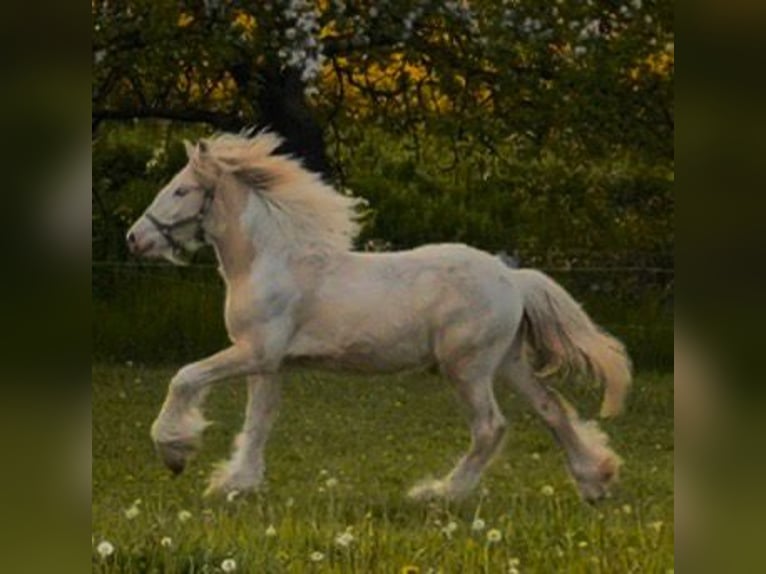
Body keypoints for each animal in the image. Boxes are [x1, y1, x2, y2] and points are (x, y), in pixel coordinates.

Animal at [126, 131, 632, 502]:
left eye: (181, 190)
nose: (134, 238)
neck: (270, 261)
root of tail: (513, 277)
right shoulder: (269, 363)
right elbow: (258, 422)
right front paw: (237, 483)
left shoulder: (254, 352)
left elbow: (186, 377)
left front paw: (175, 452)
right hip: (507, 361)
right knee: (552, 409)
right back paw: (595, 482)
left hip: (467, 368)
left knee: (491, 427)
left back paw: (440, 493)